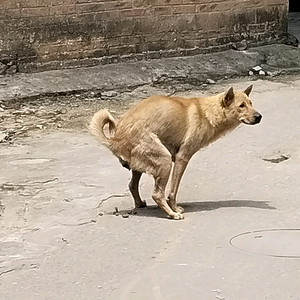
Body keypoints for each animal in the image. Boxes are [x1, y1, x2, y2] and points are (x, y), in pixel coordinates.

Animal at [90, 85, 262, 219]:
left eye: (251, 103)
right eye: (241, 106)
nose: (259, 116)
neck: (207, 113)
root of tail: (116, 139)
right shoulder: (181, 158)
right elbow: (173, 191)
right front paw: (174, 208)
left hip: (141, 165)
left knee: (132, 185)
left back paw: (140, 204)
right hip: (164, 160)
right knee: (157, 194)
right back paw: (171, 214)